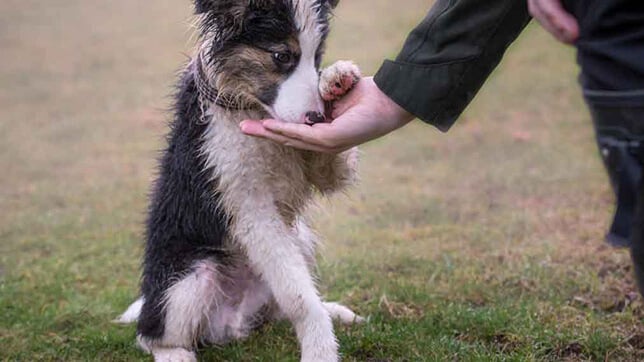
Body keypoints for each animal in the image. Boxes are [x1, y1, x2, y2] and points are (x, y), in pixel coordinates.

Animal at [117, 0, 362, 362]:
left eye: (317, 56)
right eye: (281, 56)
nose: (316, 118)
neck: (249, 107)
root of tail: (231, 324)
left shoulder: (314, 160)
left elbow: (332, 161)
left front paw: (335, 80)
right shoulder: (246, 205)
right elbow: (299, 299)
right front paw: (320, 350)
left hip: (298, 239)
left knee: (282, 304)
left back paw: (333, 310)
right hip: (189, 276)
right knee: (151, 333)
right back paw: (175, 353)